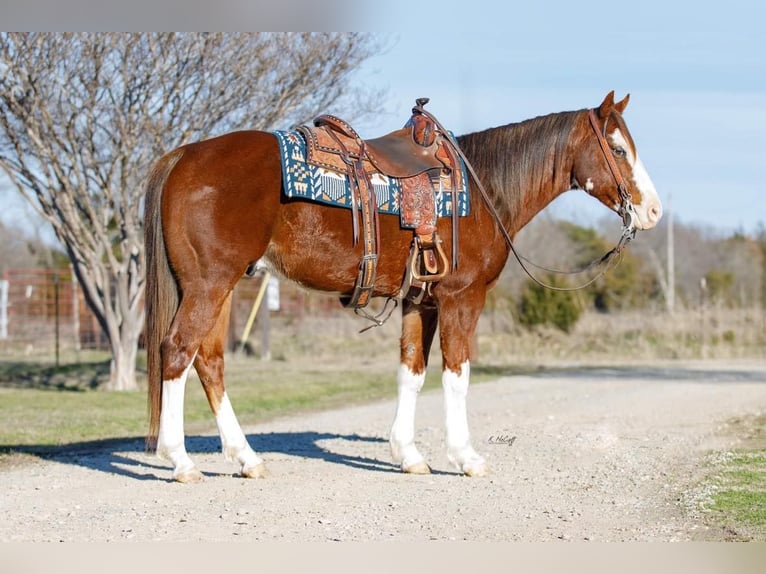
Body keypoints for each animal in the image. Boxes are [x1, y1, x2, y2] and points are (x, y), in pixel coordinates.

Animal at [146, 90, 664, 484]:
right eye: (618, 150)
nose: (654, 211)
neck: (484, 190)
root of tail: (184, 155)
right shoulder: (461, 298)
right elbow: (457, 374)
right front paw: (465, 457)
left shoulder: (421, 302)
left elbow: (411, 371)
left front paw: (409, 455)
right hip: (209, 285)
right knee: (177, 351)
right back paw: (181, 461)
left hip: (223, 286)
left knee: (209, 361)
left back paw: (247, 459)